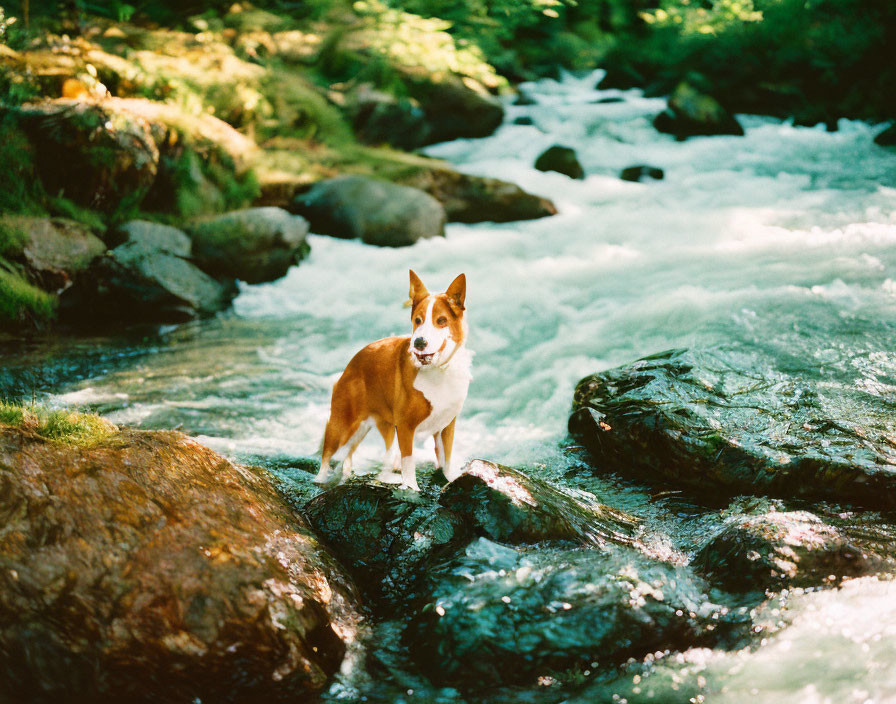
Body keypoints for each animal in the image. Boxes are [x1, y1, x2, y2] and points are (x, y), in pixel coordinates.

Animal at [314, 270, 472, 490]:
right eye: (418, 320)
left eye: (441, 320)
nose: (419, 342)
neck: (438, 370)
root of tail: (350, 365)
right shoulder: (406, 427)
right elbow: (409, 462)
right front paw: (412, 490)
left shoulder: (446, 424)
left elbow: (446, 458)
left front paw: (450, 479)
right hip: (342, 424)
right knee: (327, 454)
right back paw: (319, 481)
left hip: (372, 428)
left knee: (359, 456)